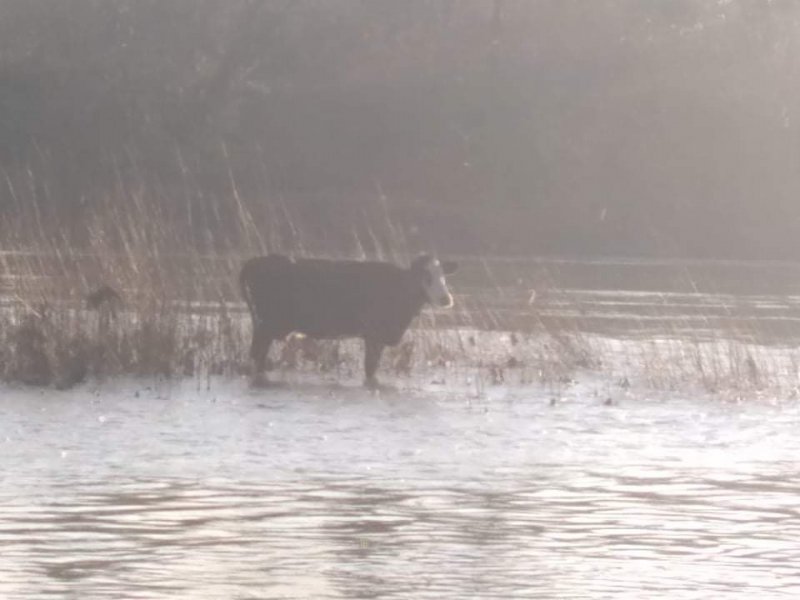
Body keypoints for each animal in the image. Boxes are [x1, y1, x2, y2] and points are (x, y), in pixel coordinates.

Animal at [239, 254, 456, 390]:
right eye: (426, 276)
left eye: (443, 276)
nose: (445, 299)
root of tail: (257, 260)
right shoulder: (374, 335)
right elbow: (370, 370)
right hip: (266, 326)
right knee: (256, 357)